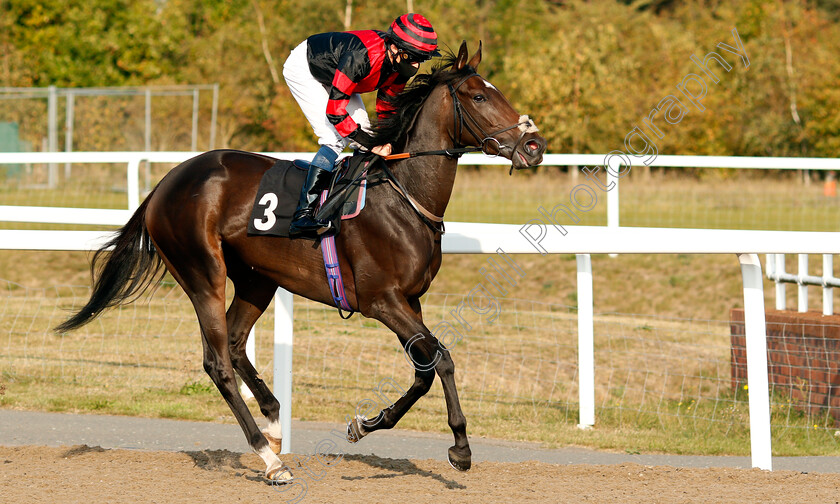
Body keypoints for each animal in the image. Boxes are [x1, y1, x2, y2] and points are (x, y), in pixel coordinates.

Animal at [57, 42, 544, 480]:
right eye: (479, 96)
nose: (534, 145)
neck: (402, 194)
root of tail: (164, 183)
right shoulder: (382, 301)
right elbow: (442, 359)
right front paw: (460, 448)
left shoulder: (410, 300)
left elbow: (424, 370)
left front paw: (365, 424)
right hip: (202, 271)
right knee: (217, 362)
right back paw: (270, 460)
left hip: (257, 279)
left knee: (235, 344)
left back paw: (274, 425)